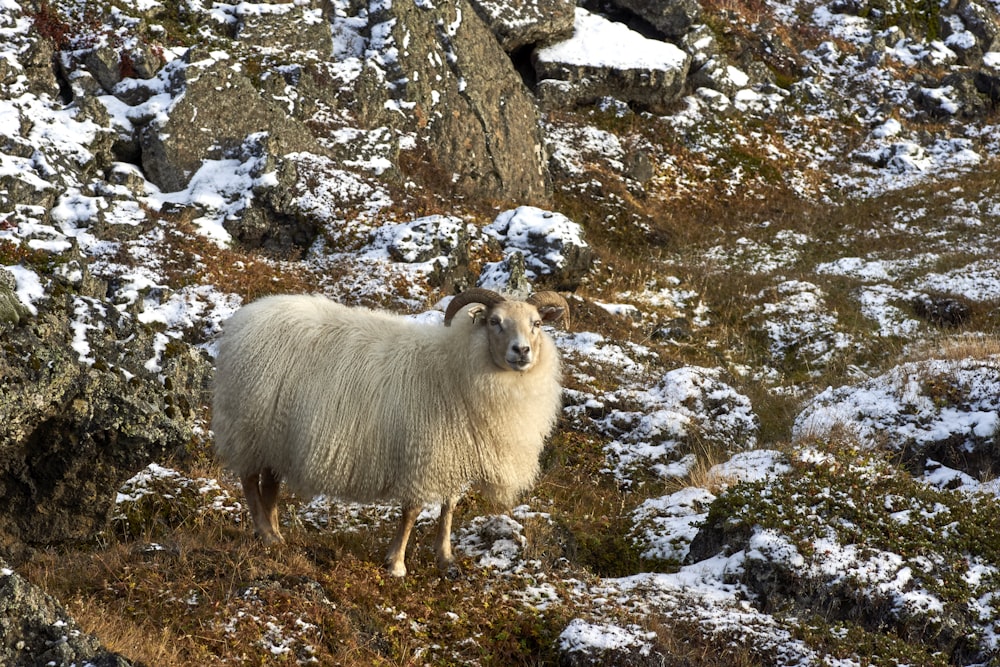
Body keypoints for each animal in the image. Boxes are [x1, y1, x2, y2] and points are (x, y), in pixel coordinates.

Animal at [212, 290, 568, 576]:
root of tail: (245, 316)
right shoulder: (422, 455)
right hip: (249, 426)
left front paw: (446, 557)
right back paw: (266, 534)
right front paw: (396, 563)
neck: (456, 366)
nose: (521, 351)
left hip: (277, 435)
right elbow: (411, 512)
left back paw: (276, 534)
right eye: (495, 321)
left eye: (537, 323)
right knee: (249, 480)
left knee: (270, 484)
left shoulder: (452, 454)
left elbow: (449, 508)